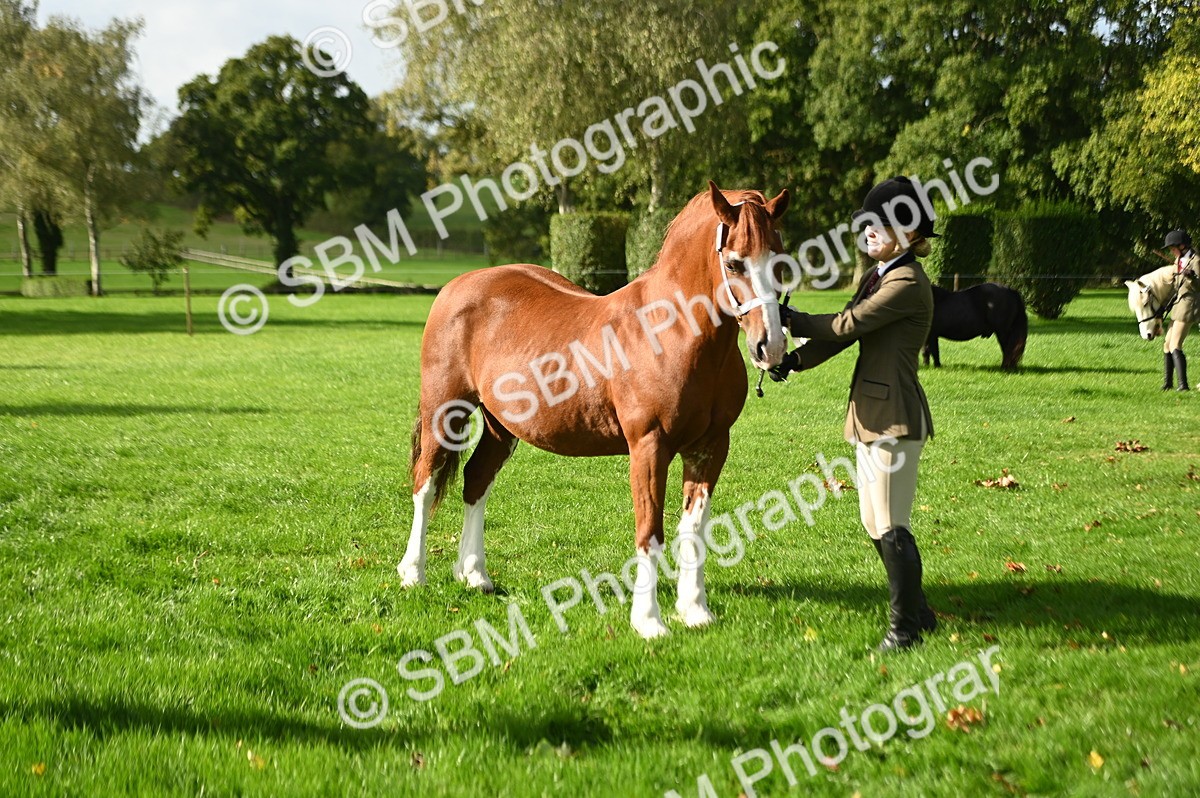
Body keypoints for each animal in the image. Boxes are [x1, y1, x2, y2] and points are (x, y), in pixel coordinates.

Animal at [398, 182, 791, 639]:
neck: (671, 332)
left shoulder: (710, 446)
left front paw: (694, 611)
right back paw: (413, 573)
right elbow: (649, 530)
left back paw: (475, 575)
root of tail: (456, 286)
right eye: (733, 262)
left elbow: (693, 528)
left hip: (502, 426)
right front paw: (649, 621)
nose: (770, 346)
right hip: (446, 411)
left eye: (779, 259)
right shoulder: (649, 447)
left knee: (476, 481)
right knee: (425, 483)